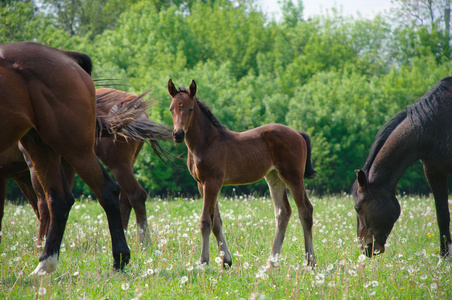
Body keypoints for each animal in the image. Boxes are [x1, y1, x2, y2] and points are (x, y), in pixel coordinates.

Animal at [0, 41, 131, 274]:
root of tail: (66, 56)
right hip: (40, 145)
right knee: (58, 200)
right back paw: (45, 263)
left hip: (73, 147)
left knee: (107, 191)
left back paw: (119, 260)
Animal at [167, 79, 318, 268]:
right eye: (171, 108)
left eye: (190, 109)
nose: (178, 134)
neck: (207, 142)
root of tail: (298, 133)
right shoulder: (201, 184)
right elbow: (216, 221)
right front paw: (226, 261)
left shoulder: (212, 182)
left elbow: (206, 221)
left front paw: (203, 261)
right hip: (274, 177)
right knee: (283, 212)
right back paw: (272, 262)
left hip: (293, 176)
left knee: (305, 210)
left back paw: (310, 261)